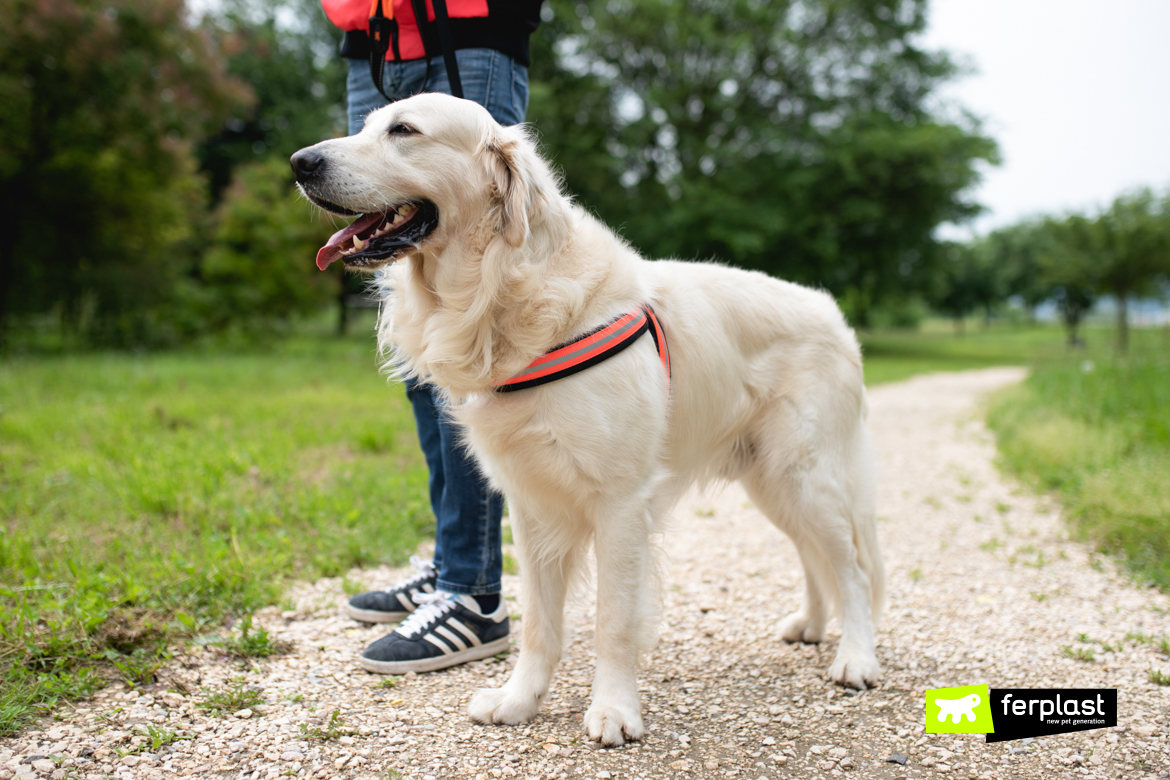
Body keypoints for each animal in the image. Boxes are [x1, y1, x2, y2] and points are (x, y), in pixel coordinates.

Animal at [287, 94, 879, 748]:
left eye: (404, 130)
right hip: (772, 483)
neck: (503, 290)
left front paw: (615, 710)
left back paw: (856, 658)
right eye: (367, 124)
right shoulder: (531, 503)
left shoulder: (619, 502)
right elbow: (539, 624)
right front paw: (518, 701)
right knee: (813, 556)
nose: (300, 162)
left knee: (851, 568)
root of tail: (832, 312)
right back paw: (811, 624)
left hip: (806, 474)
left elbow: (612, 621)